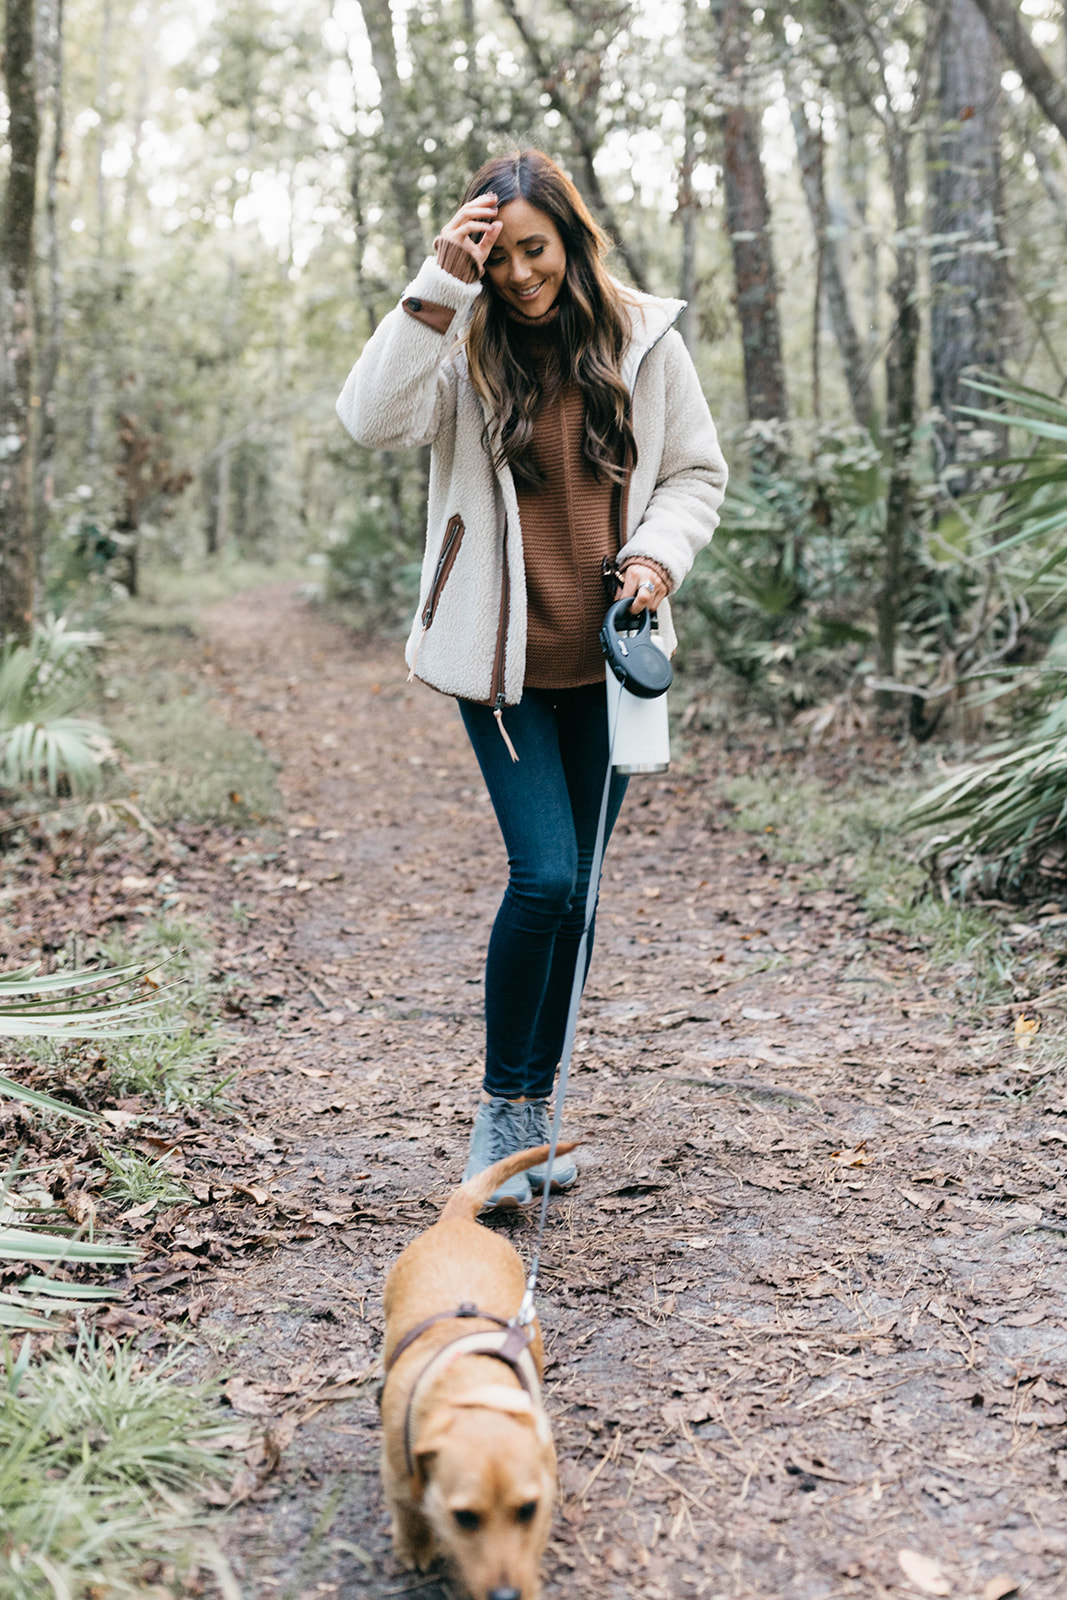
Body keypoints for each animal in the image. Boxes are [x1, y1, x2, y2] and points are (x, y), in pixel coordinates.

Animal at [383, 1145, 579, 1593]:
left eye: (528, 1510)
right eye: (465, 1518)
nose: (507, 1596)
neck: (470, 1386)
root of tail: (456, 1221)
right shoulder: (398, 1477)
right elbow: (409, 1511)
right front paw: (415, 1547)